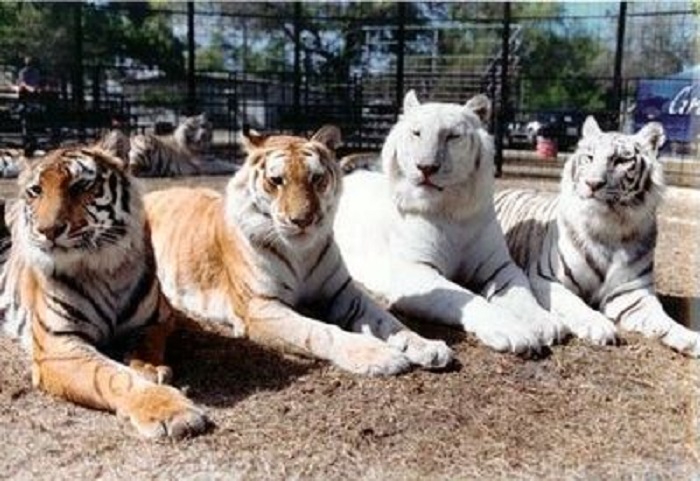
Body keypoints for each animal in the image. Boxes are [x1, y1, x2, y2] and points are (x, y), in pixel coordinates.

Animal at [0, 146, 209, 438]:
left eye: (80, 186)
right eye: (35, 191)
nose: (47, 230)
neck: (106, 270)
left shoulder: (160, 318)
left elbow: (147, 342)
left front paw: (149, 368)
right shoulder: (58, 345)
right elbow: (112, 376)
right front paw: (172, 410)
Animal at [144, 125, 453, 376]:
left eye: (316, 179)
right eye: (276, 181)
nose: (302, 220)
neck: (300, 254)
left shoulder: (344, 292)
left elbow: (388, 320)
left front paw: (428, 346)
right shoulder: (261, 306)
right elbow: (318, 331)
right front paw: (377, 354)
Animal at [333, 91, 567, 356]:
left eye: (452, 136)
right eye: (416, 133)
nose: (426, 167)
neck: (451, 211)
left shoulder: (500, 267)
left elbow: (522, 293)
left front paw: (545, 323)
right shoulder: (415, 272)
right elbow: (465, 297)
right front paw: (514, 331)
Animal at [495, 117, 700, 356]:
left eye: (621, 161)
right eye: (589, 157)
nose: (592, 183)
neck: (609, 228)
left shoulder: (632, 294)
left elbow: (662, 319)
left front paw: (689, 337)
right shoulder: (545, 278)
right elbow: (574, 304)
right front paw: (598, 325)